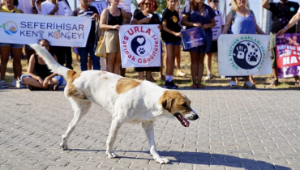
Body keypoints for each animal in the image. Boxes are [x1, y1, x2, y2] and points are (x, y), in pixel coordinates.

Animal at [30, 44, 199, 164]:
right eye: (184, 105)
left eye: (190, 103)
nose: (197, 116)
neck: (150, 99)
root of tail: (76, 73)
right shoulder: (117, 120)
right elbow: (111, 139)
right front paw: (110, 153)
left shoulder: (148, 125)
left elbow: (153, 146)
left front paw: (158, 158)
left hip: (82, 110)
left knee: (69, 128)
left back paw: (64, 143)